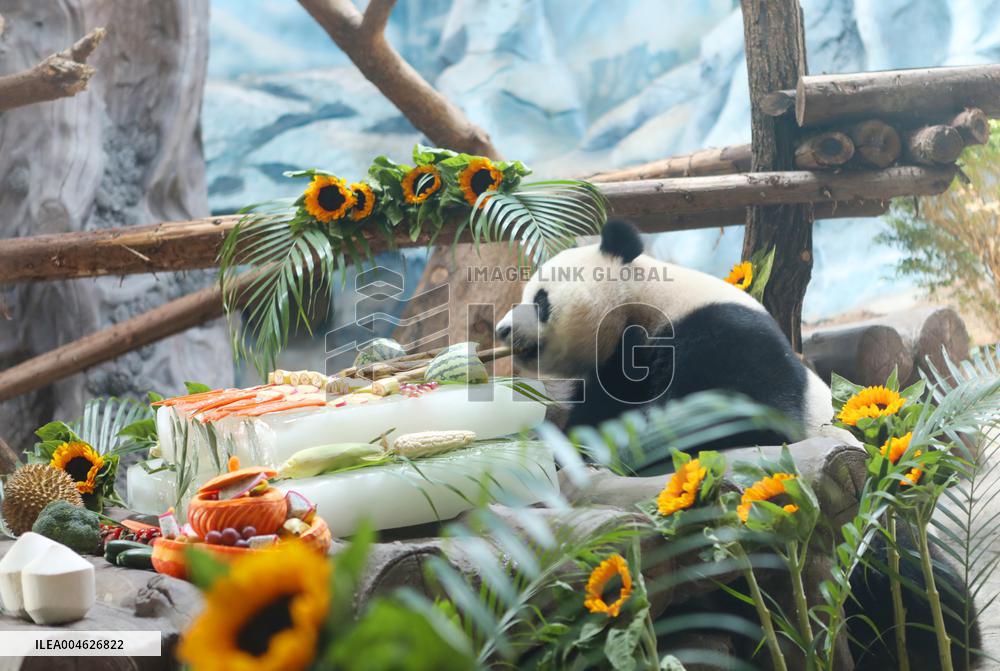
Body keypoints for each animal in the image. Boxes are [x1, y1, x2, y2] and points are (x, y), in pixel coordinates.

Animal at [494, 220, 980, 670]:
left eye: (540, 298)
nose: (500, 330)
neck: (644, 301)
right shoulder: (610, 372)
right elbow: (591, 423)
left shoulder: (725, 331)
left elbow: (738, 418)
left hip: (866, 521)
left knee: (909, 581)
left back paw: (947, 643)